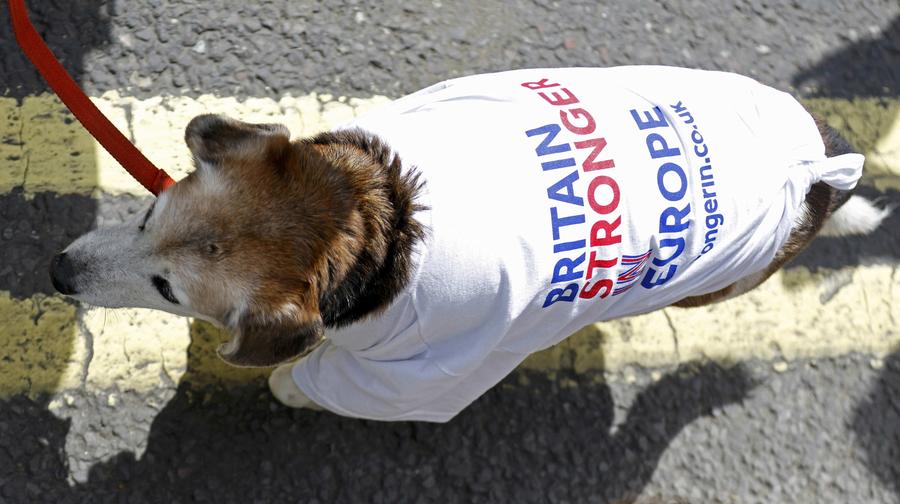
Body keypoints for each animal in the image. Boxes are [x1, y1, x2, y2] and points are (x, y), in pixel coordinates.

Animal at [52, 67, 888, 422]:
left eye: (167, 290)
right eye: (148, 212)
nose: (57, 271)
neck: (379, 222)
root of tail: (814, 174)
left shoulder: (427, 371)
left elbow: (322, 377)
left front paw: (289, 383)